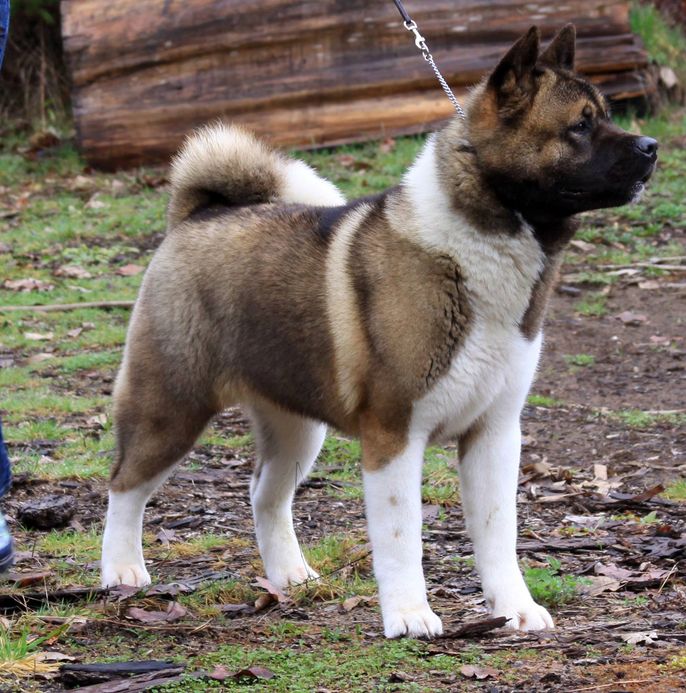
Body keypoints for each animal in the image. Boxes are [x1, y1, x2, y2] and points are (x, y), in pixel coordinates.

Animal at [100, 25, 657, 638]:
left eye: (606, 115)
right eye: (580, 125)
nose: (652, 146)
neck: (477, 246)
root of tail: (196, 217)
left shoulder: (495, 431)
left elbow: (497, 533)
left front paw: (515, 608)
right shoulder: (395, 433)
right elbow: (400, 537)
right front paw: (410, 616)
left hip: (297, 429)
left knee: (264, 494)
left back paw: (289, 575)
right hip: (171, 406)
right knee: (124, 486)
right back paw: (121, 572)